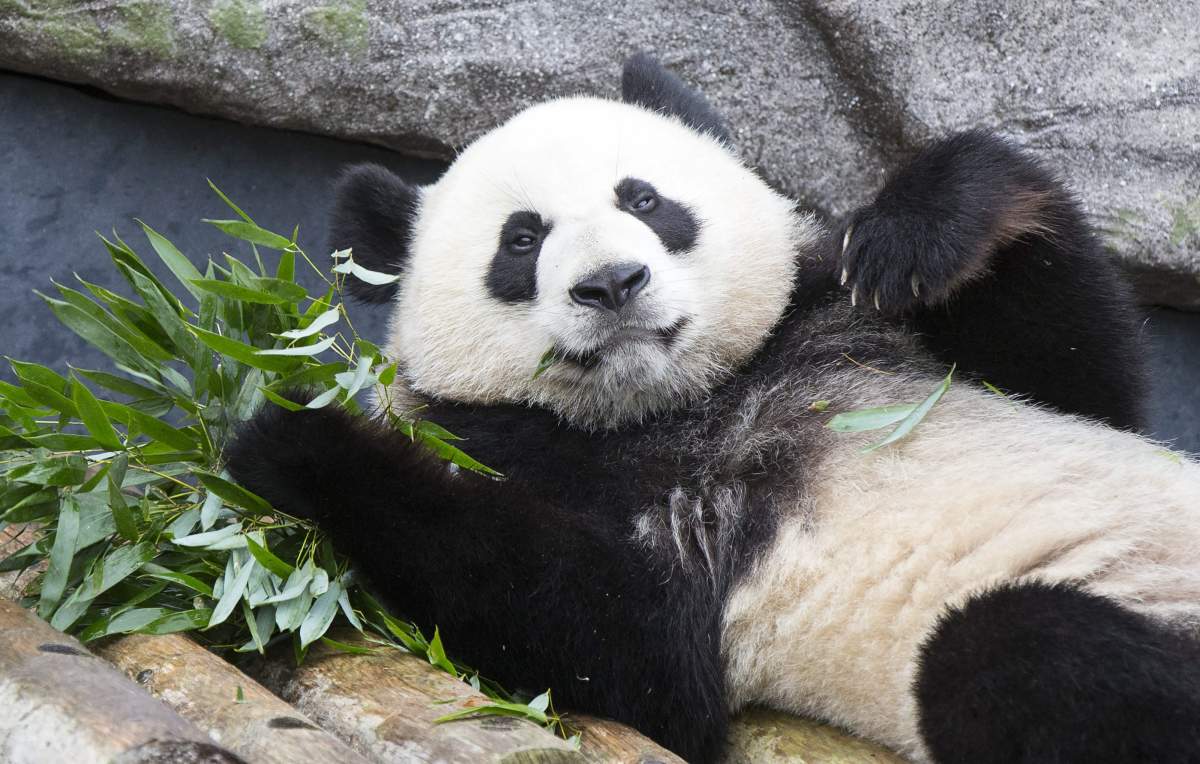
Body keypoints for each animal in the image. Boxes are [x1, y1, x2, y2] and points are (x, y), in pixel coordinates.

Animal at [227, 54, 1200, 763]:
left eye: (644, 198)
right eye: (522, 240)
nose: (613, 284)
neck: (691, 401)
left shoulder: (842, 328)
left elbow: (1087, 385)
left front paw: (924, 225)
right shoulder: (541, 460)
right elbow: (629, 646)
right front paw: (294, 437)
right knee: (1014, 650)